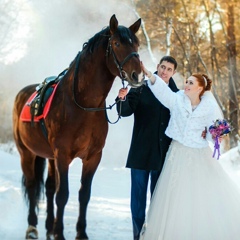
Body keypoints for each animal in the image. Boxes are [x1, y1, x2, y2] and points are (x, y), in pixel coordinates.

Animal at [12, 15, 143, 240]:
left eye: (136, 43)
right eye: (117, 43)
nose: (138, 76)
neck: (83, 105)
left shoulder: (92, 157)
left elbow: (84, 195)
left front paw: (80, 232)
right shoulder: (63, 155)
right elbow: (63, 195)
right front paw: (60, 233)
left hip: (50, 157)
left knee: (48, 188)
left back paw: (49, 226)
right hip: (26, 153)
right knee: (31, 187)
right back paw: (32, 227)